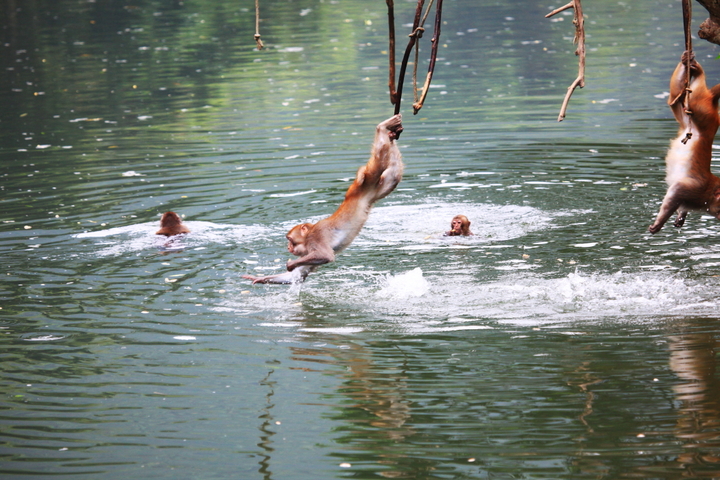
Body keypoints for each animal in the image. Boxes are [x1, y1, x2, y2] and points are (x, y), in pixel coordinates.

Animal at [243, 114, 404, 284]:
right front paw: (259, 278)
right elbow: (297, 275)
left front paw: (290, 265)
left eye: (290, 239)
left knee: (379, 158)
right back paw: (391, 134)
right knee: (393, 173)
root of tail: (362, 192)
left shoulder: (315, 238)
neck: (308, 236)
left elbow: (325, 255)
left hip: (364, 182)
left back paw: (382, 127)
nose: (288, 247)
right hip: (376, 188)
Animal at [648, 51, 720, 233]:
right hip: (703, 110)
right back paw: (698, 71)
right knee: (692, 95)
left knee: (675, 97)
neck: (708, 194)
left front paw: (681, 216)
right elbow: (677, 190)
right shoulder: (695, 190)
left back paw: (687, 64)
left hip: (689, 117)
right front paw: (660, 222)